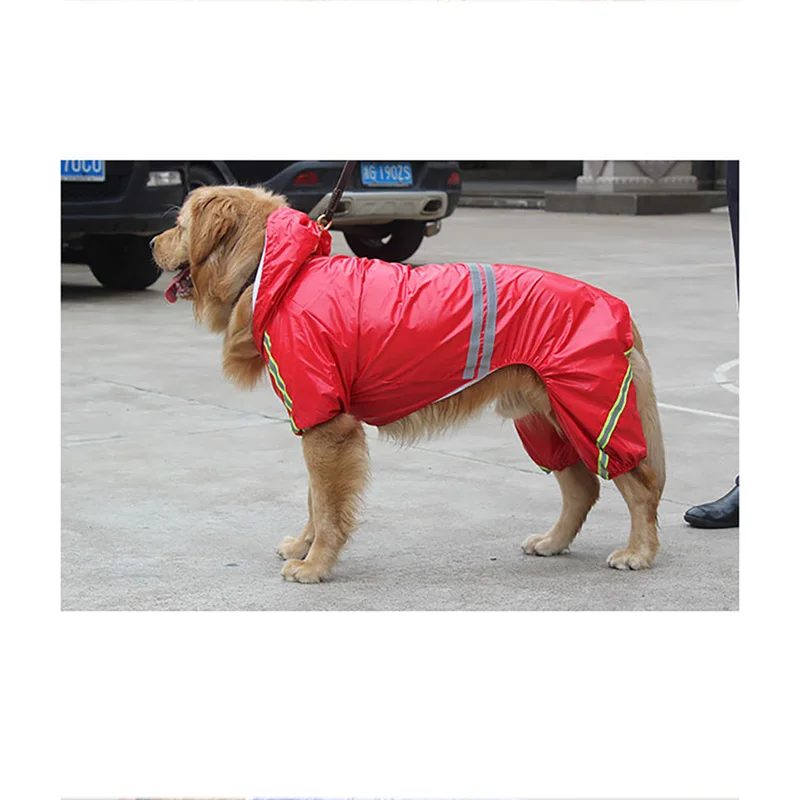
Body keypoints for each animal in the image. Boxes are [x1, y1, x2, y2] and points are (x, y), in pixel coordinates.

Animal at [152, 185, 666, 583]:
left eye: (178, 225)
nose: (152, 243)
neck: (274, 271)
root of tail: (619, 308)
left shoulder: (327, 424)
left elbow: (326, 506)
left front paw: (315, 565)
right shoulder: (318, 422)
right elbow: (315, 500)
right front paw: (303, 547)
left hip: (593, 413)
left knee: (639, 486)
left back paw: (638, 552)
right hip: (544, 420)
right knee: (582, 488)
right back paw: (553, 541)